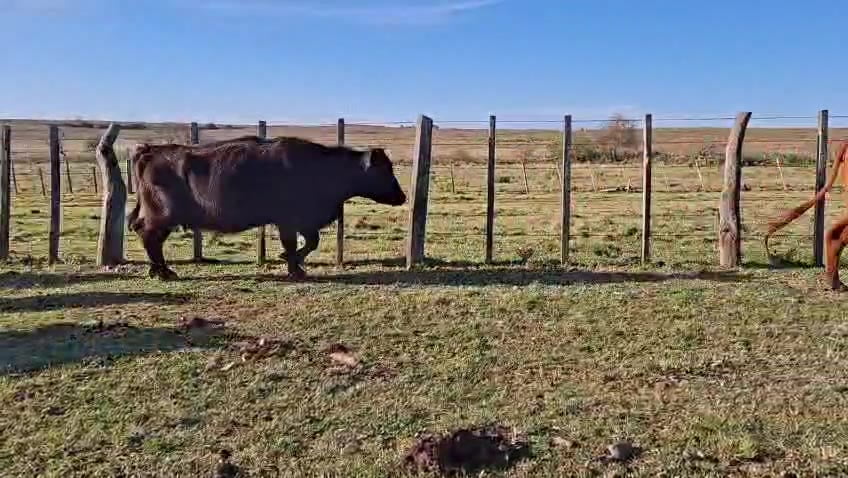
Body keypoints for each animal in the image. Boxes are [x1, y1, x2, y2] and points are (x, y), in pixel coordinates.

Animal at [126, 136, 407, 280]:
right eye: (385, 170)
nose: (403, 196)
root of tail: (149, 150)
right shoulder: (288, 221)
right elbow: (295, 244)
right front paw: (294, 268)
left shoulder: (302, 222)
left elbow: (310, 242)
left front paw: (292, 263)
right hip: (162, 217)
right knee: (150, 237)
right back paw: (164, 272)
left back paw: (158, 270)